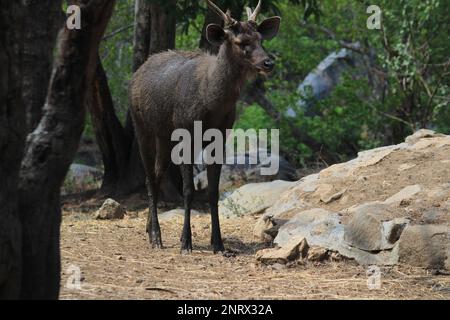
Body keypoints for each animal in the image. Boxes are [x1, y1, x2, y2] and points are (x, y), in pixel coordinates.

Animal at [128, 0, 280, 254]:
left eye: (261, 38)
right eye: (240, 42)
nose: (268, 62)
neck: (211, 103)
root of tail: (138, 72)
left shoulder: (220, 136)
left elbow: (213, 191)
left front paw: (218, 243)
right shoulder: (186, 133)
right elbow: (188, 190)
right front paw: (185, 242)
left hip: (165, 135)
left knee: (157, 175)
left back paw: (150, 231)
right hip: (142, 127)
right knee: (149, 177)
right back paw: (157, 237)